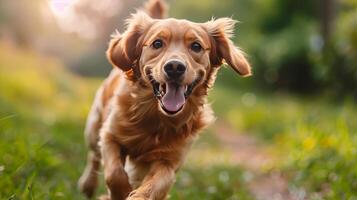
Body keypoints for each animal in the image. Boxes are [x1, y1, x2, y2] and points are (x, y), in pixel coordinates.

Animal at [78, 0, 250, 199]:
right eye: (157, 43)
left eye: (196, 46)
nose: (175, 67)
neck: (155, 115)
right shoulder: (110, 136)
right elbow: (115, 174)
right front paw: (120, 193)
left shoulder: (168, 161)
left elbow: (154, 186)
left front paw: (135, 194)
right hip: (93, 128)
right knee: (94, 155)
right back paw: (88, 185)